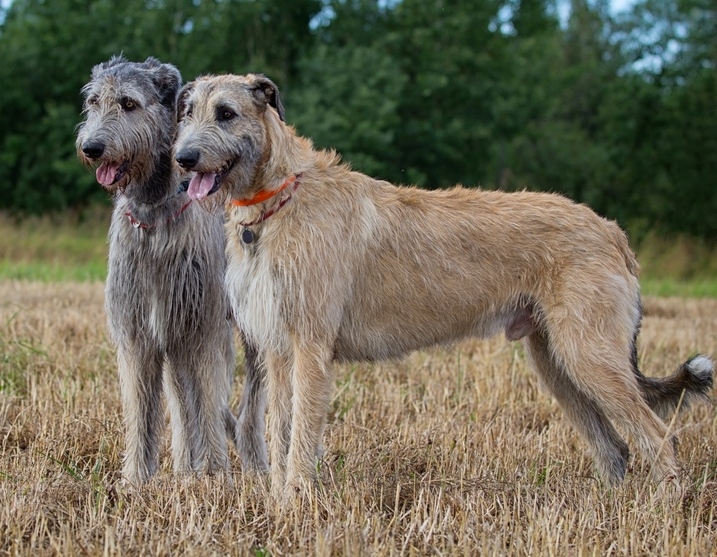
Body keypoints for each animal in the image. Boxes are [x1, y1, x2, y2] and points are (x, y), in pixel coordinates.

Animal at [75, 57, 268, 482]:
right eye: (94, 102)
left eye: (129, 103)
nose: (91, 147)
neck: (152, 215)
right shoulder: (139, 330)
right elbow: (141, 408)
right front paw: (135, 479)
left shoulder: (204, 326)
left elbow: (209, 400)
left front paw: (214, 474)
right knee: (183, 402)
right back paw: (183, 466)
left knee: (250, 401)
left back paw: (255, 461)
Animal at [172, 73, 712, 496]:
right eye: (187, 112)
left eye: (226, 113)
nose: (182, 159)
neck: (278, 198)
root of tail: (612, 231)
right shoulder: (281, 351)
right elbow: (282, 432)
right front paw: (283, 498)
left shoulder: (310, 347)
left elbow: (301, 434)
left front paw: (296, 502)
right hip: (557, 362)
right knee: (615, 446)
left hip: (589, 354)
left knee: (659, 434)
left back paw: (664, 509)